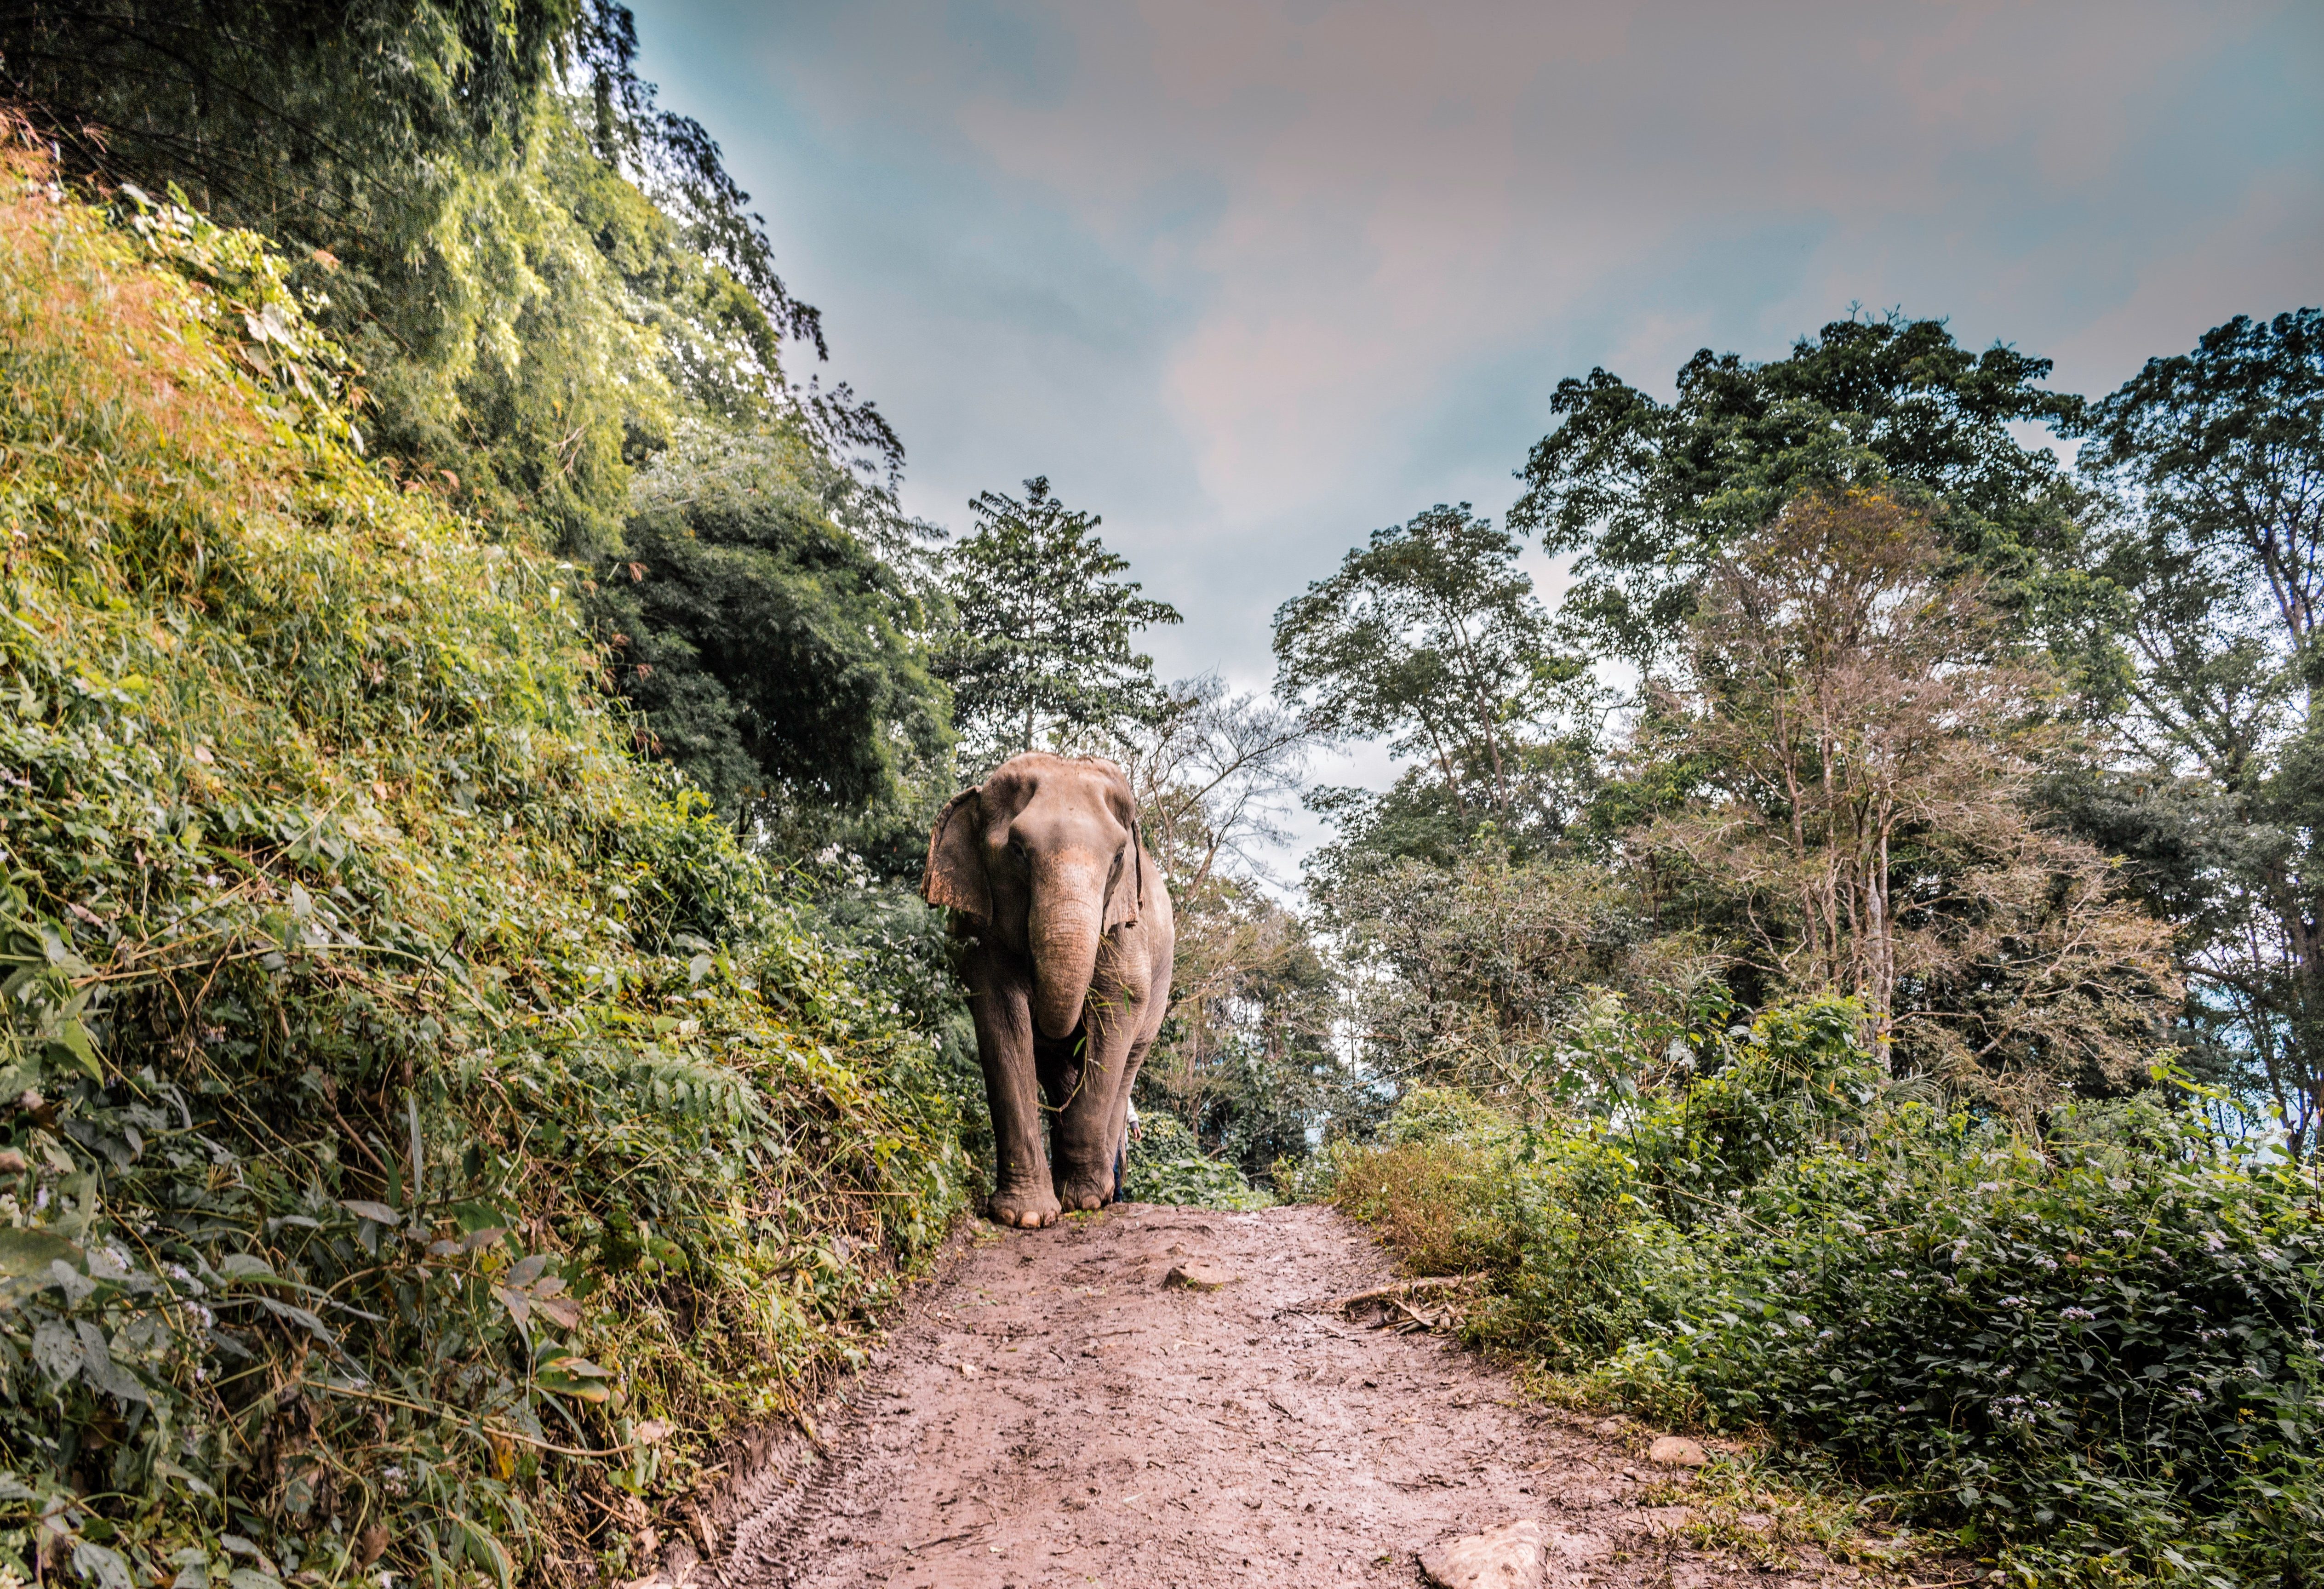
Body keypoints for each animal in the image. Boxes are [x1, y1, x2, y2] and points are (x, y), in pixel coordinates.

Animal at [922, 753, 1174, 1229]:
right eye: (1018, 852)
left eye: (1118, 857)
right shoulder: (983, 938)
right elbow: (1001, 1018)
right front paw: (1026, 1217)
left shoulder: (1124, 931)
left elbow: (1117, 1011)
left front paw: (1085, 1202)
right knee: (1058, 1072)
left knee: (1127, 1062)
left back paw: (1101, 1192)